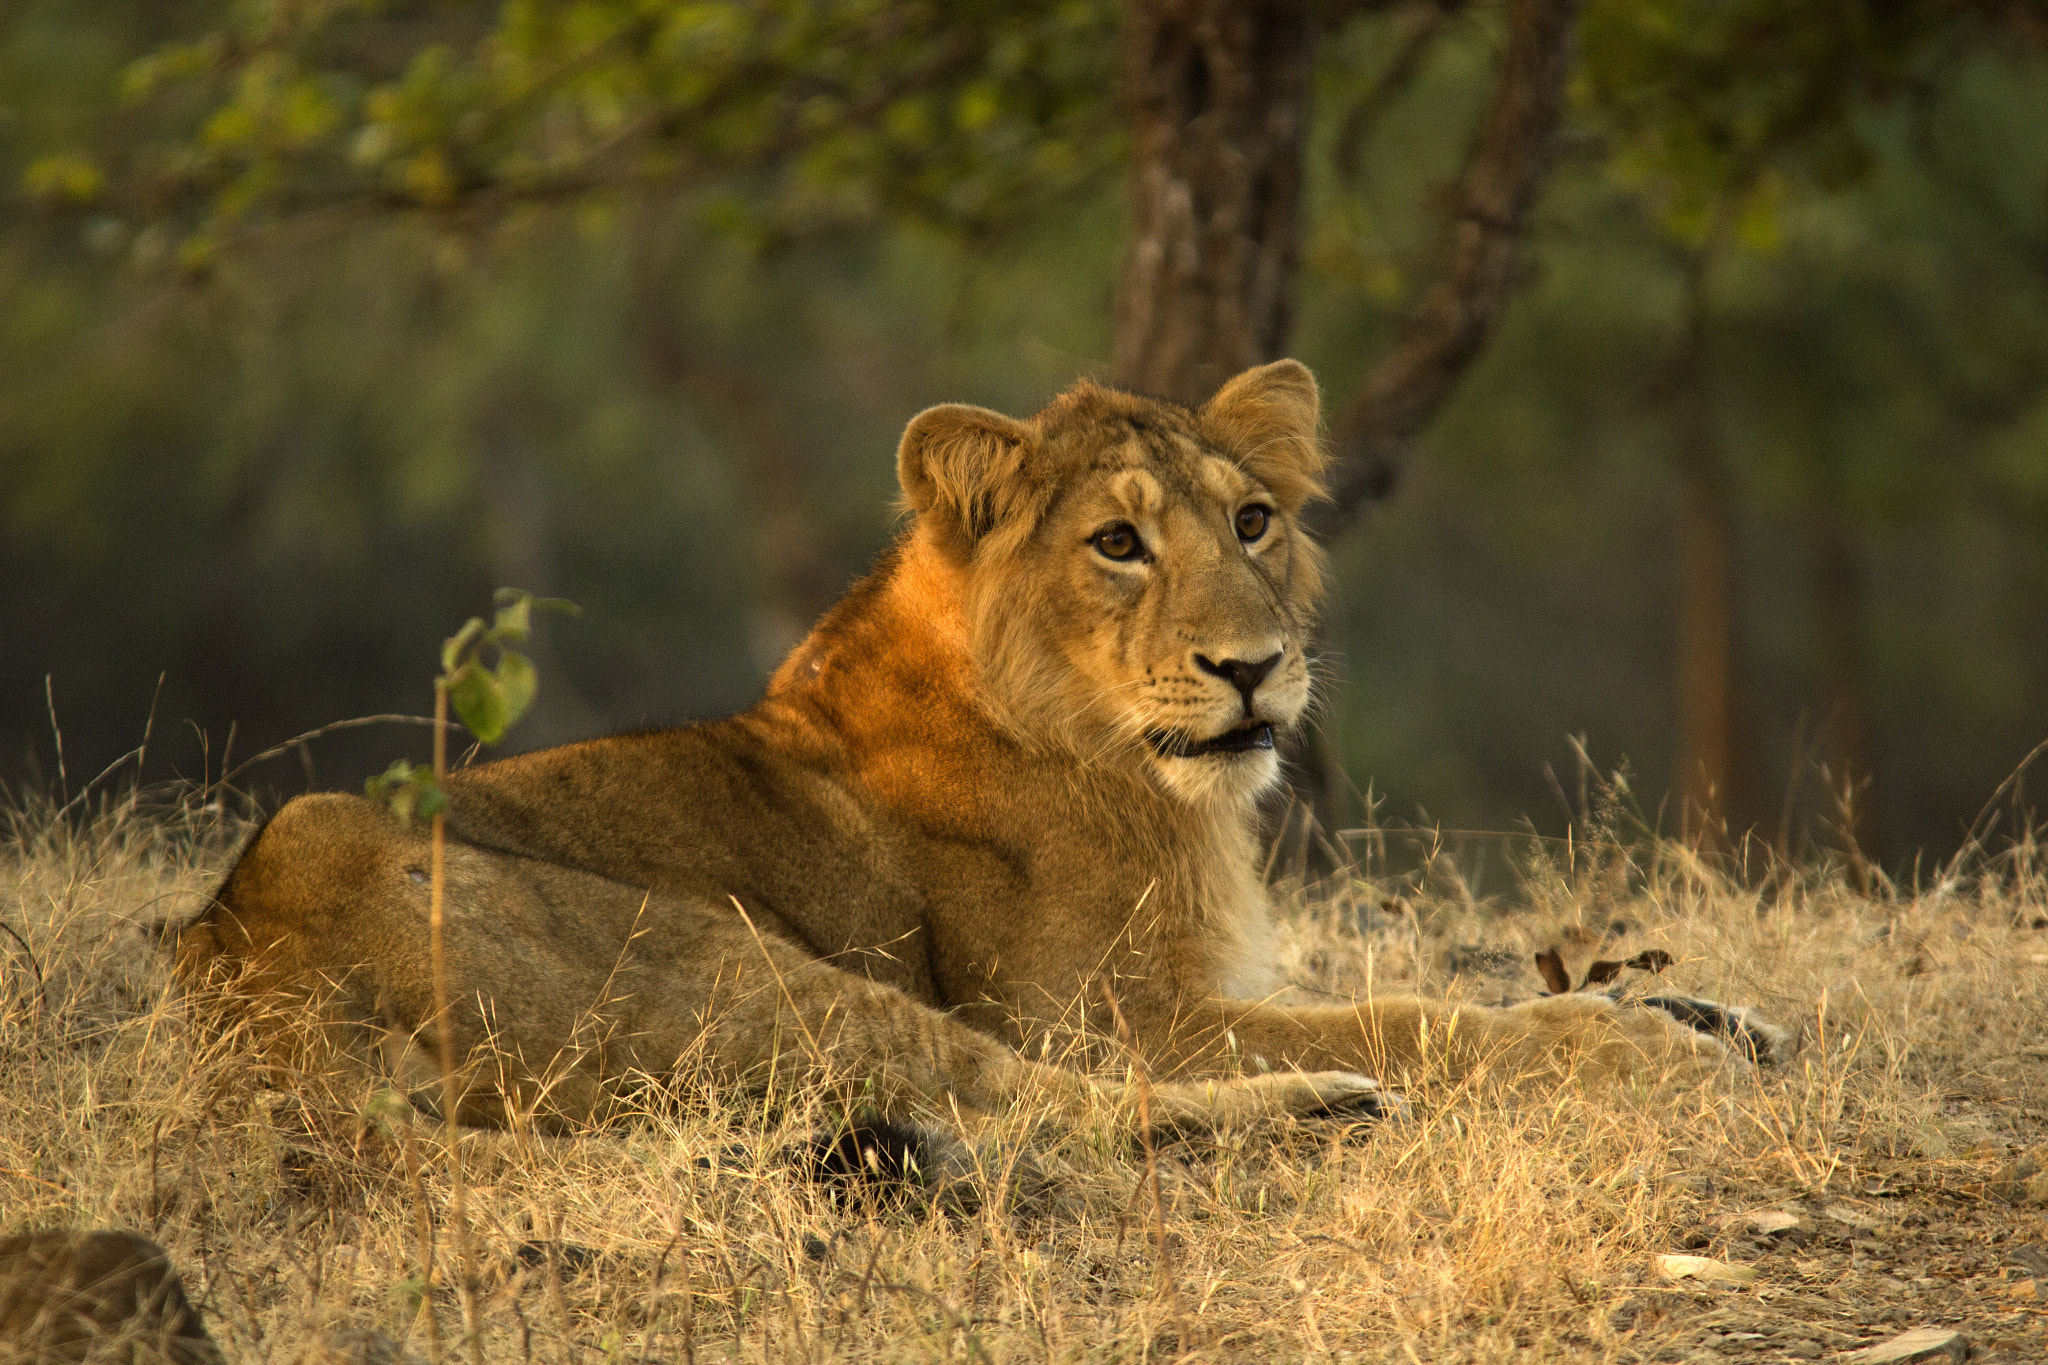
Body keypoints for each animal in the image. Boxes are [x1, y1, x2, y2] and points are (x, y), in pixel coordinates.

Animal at [178, 360, 1785, 1140]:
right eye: (1119, 545)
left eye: (1253, 521)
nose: (1251, 668)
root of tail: (246, 973)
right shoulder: (1116, 1012)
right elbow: (1415, 1017)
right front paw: (1627, 1043)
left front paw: (1696, 1008)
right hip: (739, 970)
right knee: (1031, 1110)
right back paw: (1314, 1106)